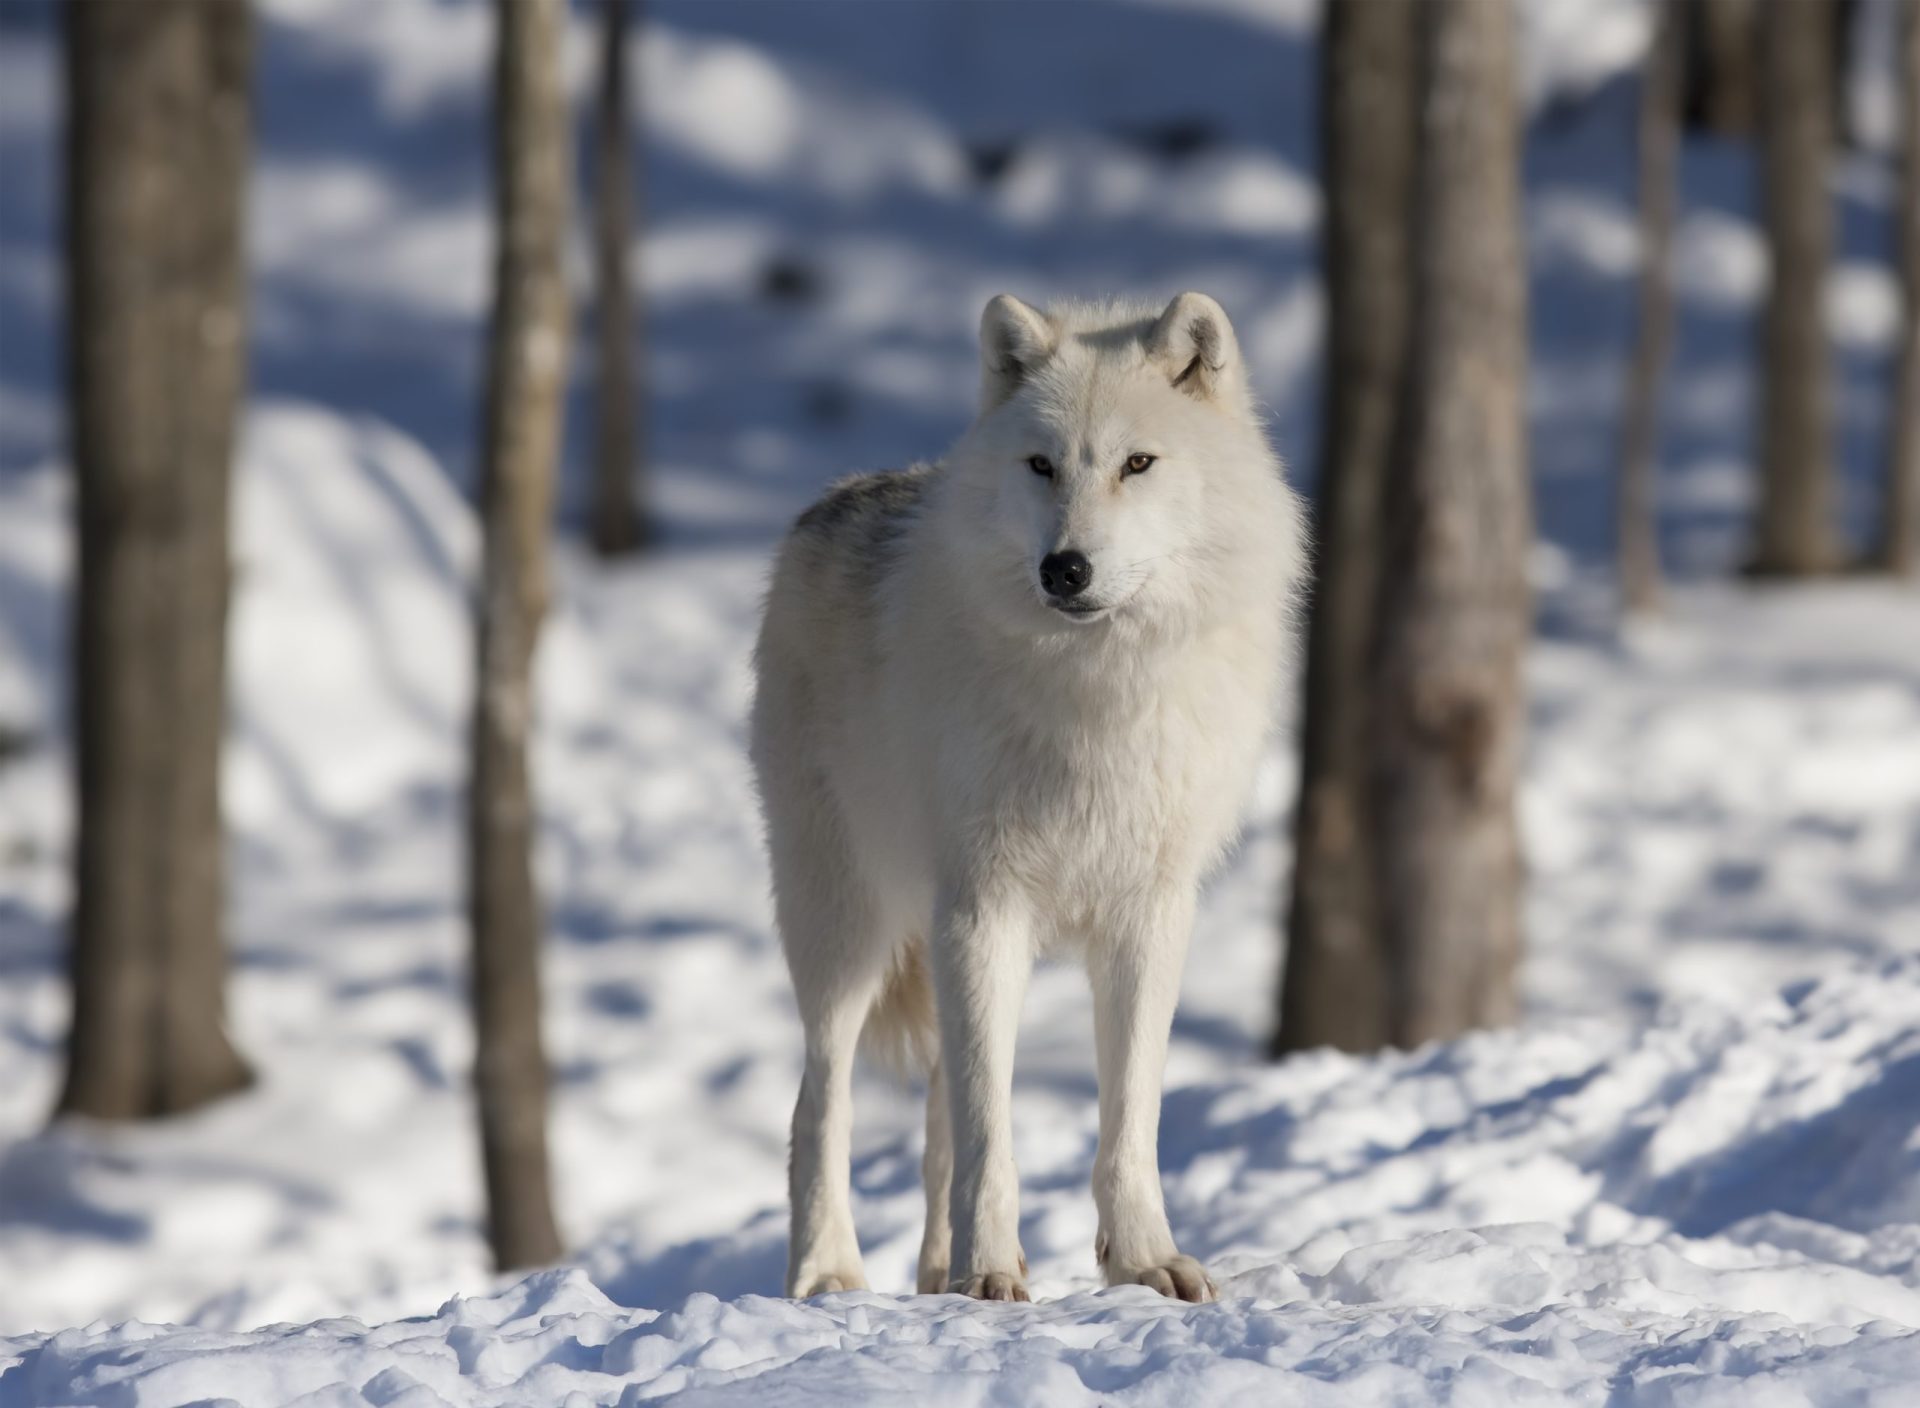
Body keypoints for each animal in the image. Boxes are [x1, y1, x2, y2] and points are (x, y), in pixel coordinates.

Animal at [744, 291, 1305, 1298]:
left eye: (1136, 464)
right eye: (1042, 465)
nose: (1065, 569)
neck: (1099, 691)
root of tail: (829, 500)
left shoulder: (1149, 915)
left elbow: (1128, 1121)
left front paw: (1142, 1261)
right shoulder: (983, 907)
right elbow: (990, 1128)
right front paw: (991, 1276)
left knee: (934, 1120)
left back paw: (931, 1274)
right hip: (847, 926)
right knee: (821, 1102)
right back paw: (829, 1272)